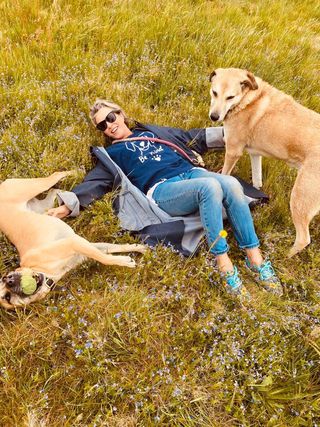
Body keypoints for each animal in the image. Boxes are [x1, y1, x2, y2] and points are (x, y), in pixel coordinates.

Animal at [0, 172, 145, 310]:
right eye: (8, 297)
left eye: (5, 276)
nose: (10, 281)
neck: (44, 271)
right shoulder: (84, 247)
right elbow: (110, 250)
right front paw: (136, 249)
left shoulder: (73, 243)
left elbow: (105, 258)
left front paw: (129, 257)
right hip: (43, 205)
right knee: (54, 191)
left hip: (37, 187)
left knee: (55, 175)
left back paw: (74, 173)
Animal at [209, 67, 320, 258]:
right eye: (214, 92)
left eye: (230, 97)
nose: (214, 117)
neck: (247, 99)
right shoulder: (255, 155)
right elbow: (257, 181)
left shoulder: (233, 151)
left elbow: (224, 174)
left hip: (300, 198)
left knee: (304, 238)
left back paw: (283, 256)